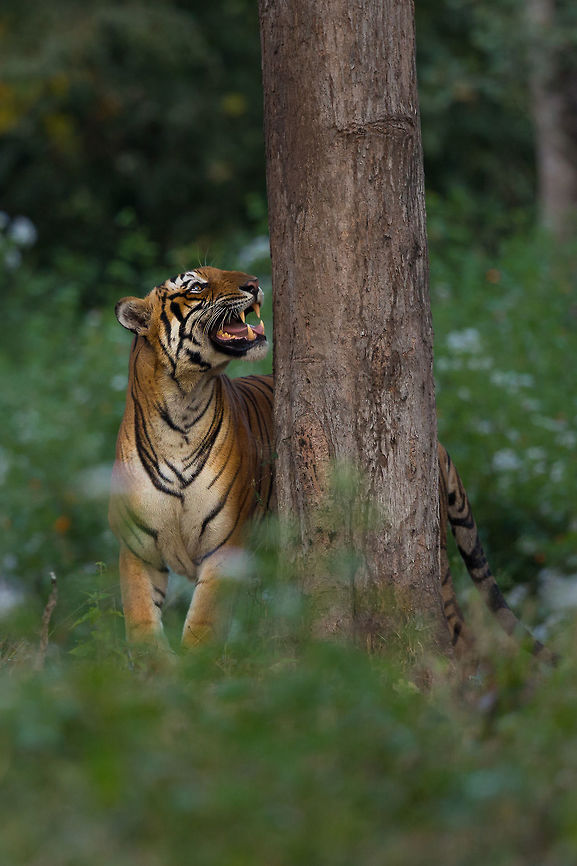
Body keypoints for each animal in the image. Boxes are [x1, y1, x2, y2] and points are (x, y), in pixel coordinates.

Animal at [109, 265, 548, 659]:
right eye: (196, 286)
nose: (254, 283)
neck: (181, 411)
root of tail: (434, 437)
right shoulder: (138, 550)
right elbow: (141, 625)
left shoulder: (224, 549)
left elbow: (202, 626)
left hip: (434, 559)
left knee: (463, 637)